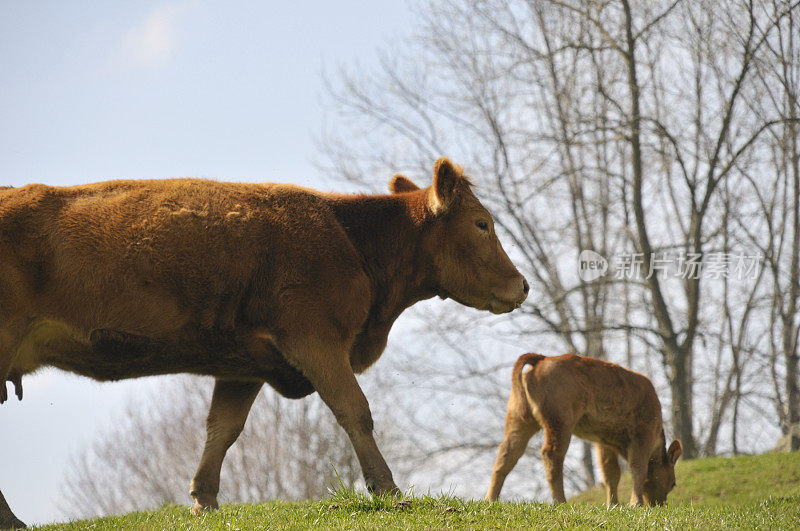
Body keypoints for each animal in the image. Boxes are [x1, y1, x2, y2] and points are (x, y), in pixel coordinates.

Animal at [1, 158, 532, 528]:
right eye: (482, 224)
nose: (523, 285)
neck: (352, 241)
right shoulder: (316, 339)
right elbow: (354, 410)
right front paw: (387, 489)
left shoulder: (244, 364)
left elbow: (222, 429)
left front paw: (204, 501)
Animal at [484, 354, 684, 508]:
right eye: (673, 483)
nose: (660, 504)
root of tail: (542, 359)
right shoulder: (643, 433)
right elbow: (637, 467)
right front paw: (636, 504)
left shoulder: (604, 441)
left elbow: (611, 472)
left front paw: (614, 505)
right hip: (560, 422)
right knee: (552, 455)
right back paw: (561, 502)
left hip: (518, 420)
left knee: (507, 454)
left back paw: (490, 499)